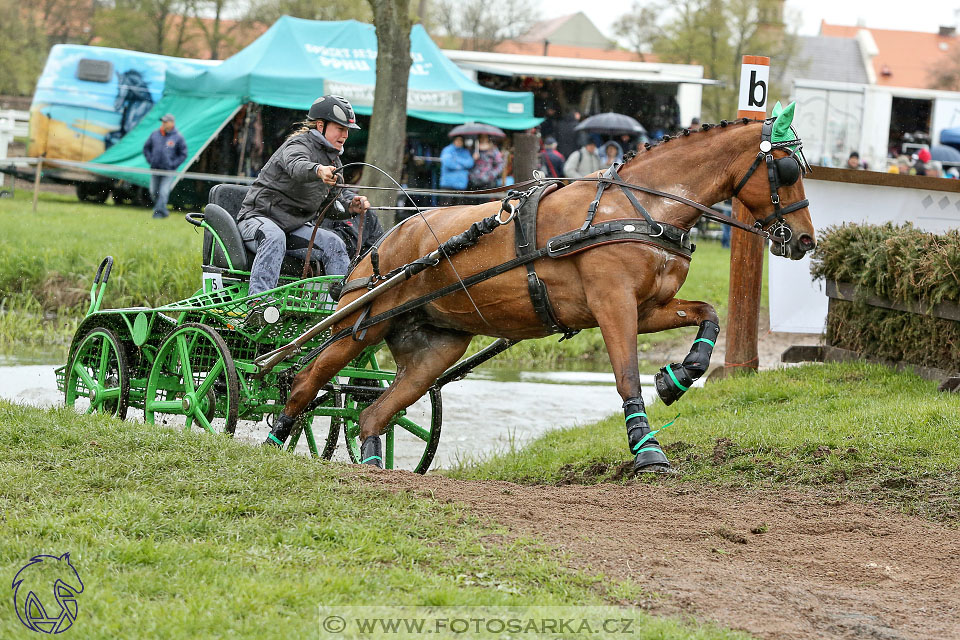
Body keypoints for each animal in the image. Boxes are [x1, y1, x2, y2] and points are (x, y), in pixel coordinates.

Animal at [264, 101, 816, 470]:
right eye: (787, 169)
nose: (806, 239)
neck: (639, 209)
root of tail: (389, 237)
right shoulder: (613, 304)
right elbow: (626, 375)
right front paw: (646, 448)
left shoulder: (649, 306)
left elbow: (709, 316)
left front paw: (679, 377)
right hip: (361, 323)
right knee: (303, 379)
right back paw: (273, 441)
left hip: (434, 349)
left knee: (373, 414)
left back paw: (373, 464)